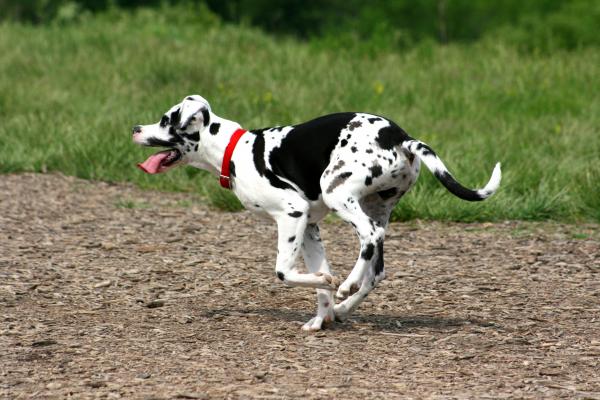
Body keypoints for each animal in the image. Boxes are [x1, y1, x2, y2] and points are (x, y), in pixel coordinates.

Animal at [132, 94, 502, 332]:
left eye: (165, 120)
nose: (135, 128)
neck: (235, 151)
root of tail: (400, 137)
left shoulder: (291, 215)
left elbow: (285, 272)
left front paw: (329, 285)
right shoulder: (309, 227)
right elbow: (319, 277)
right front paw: (321, 316)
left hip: (339, 194)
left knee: (370, 238)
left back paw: (347, 286)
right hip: (376, 206)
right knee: (377, 269)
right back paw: (342, 307)